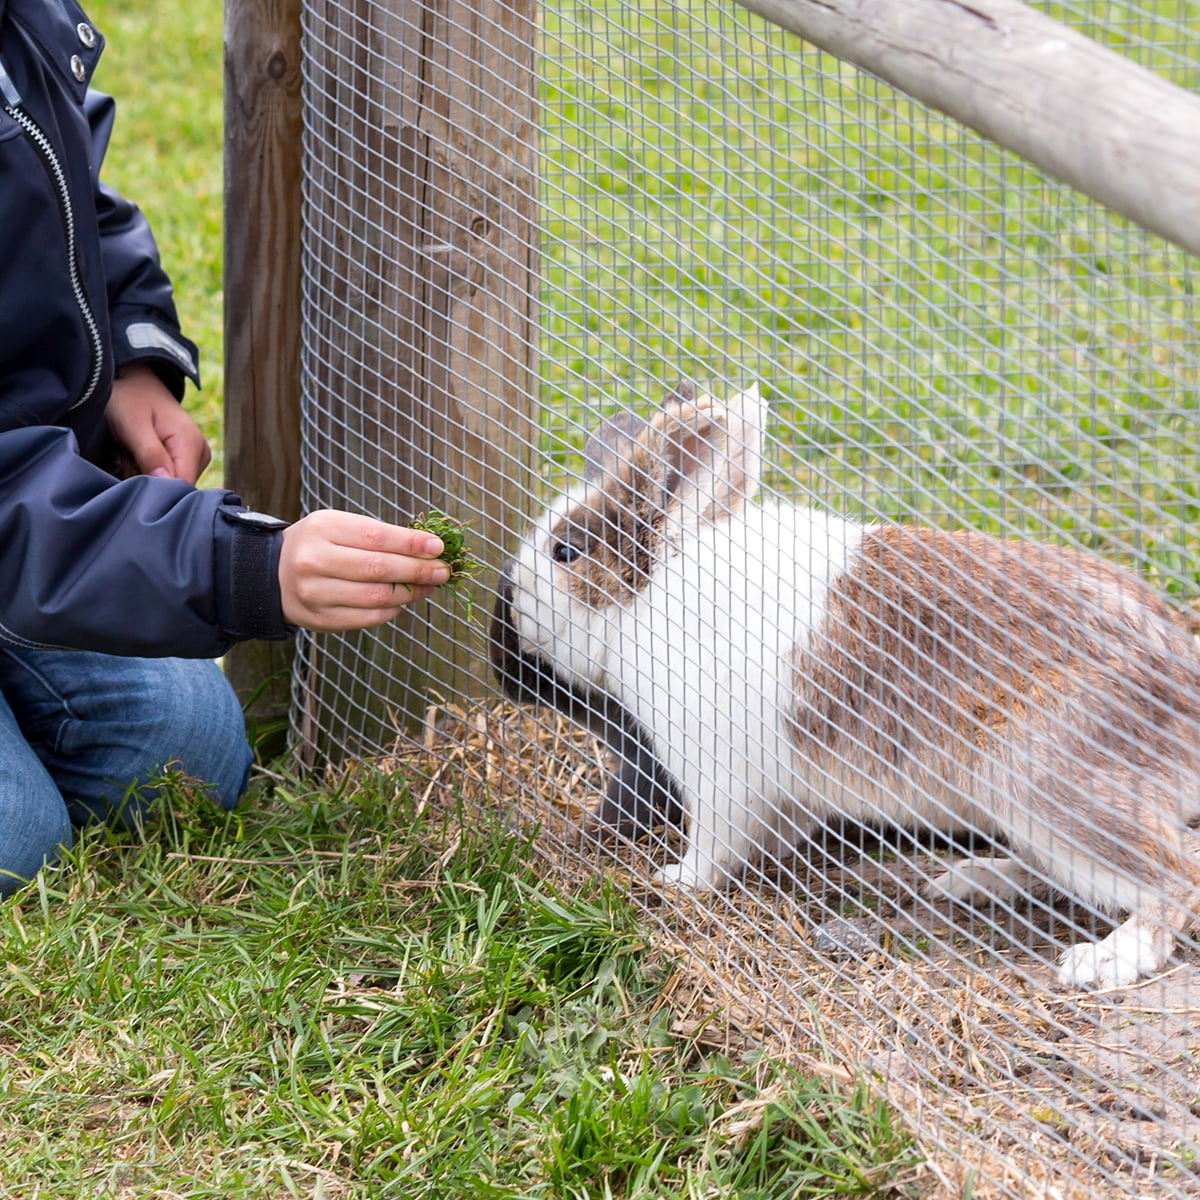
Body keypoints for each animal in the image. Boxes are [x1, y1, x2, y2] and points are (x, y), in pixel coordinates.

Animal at [487, 381, 1200, 984]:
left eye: (564, 553)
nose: (504, 645)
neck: (647, 597)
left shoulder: (718, 775)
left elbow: (715, 845)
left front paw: (677, 880)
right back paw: (971, 880)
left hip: (1041, 780)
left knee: (1175, 879)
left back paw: (1103, 961)